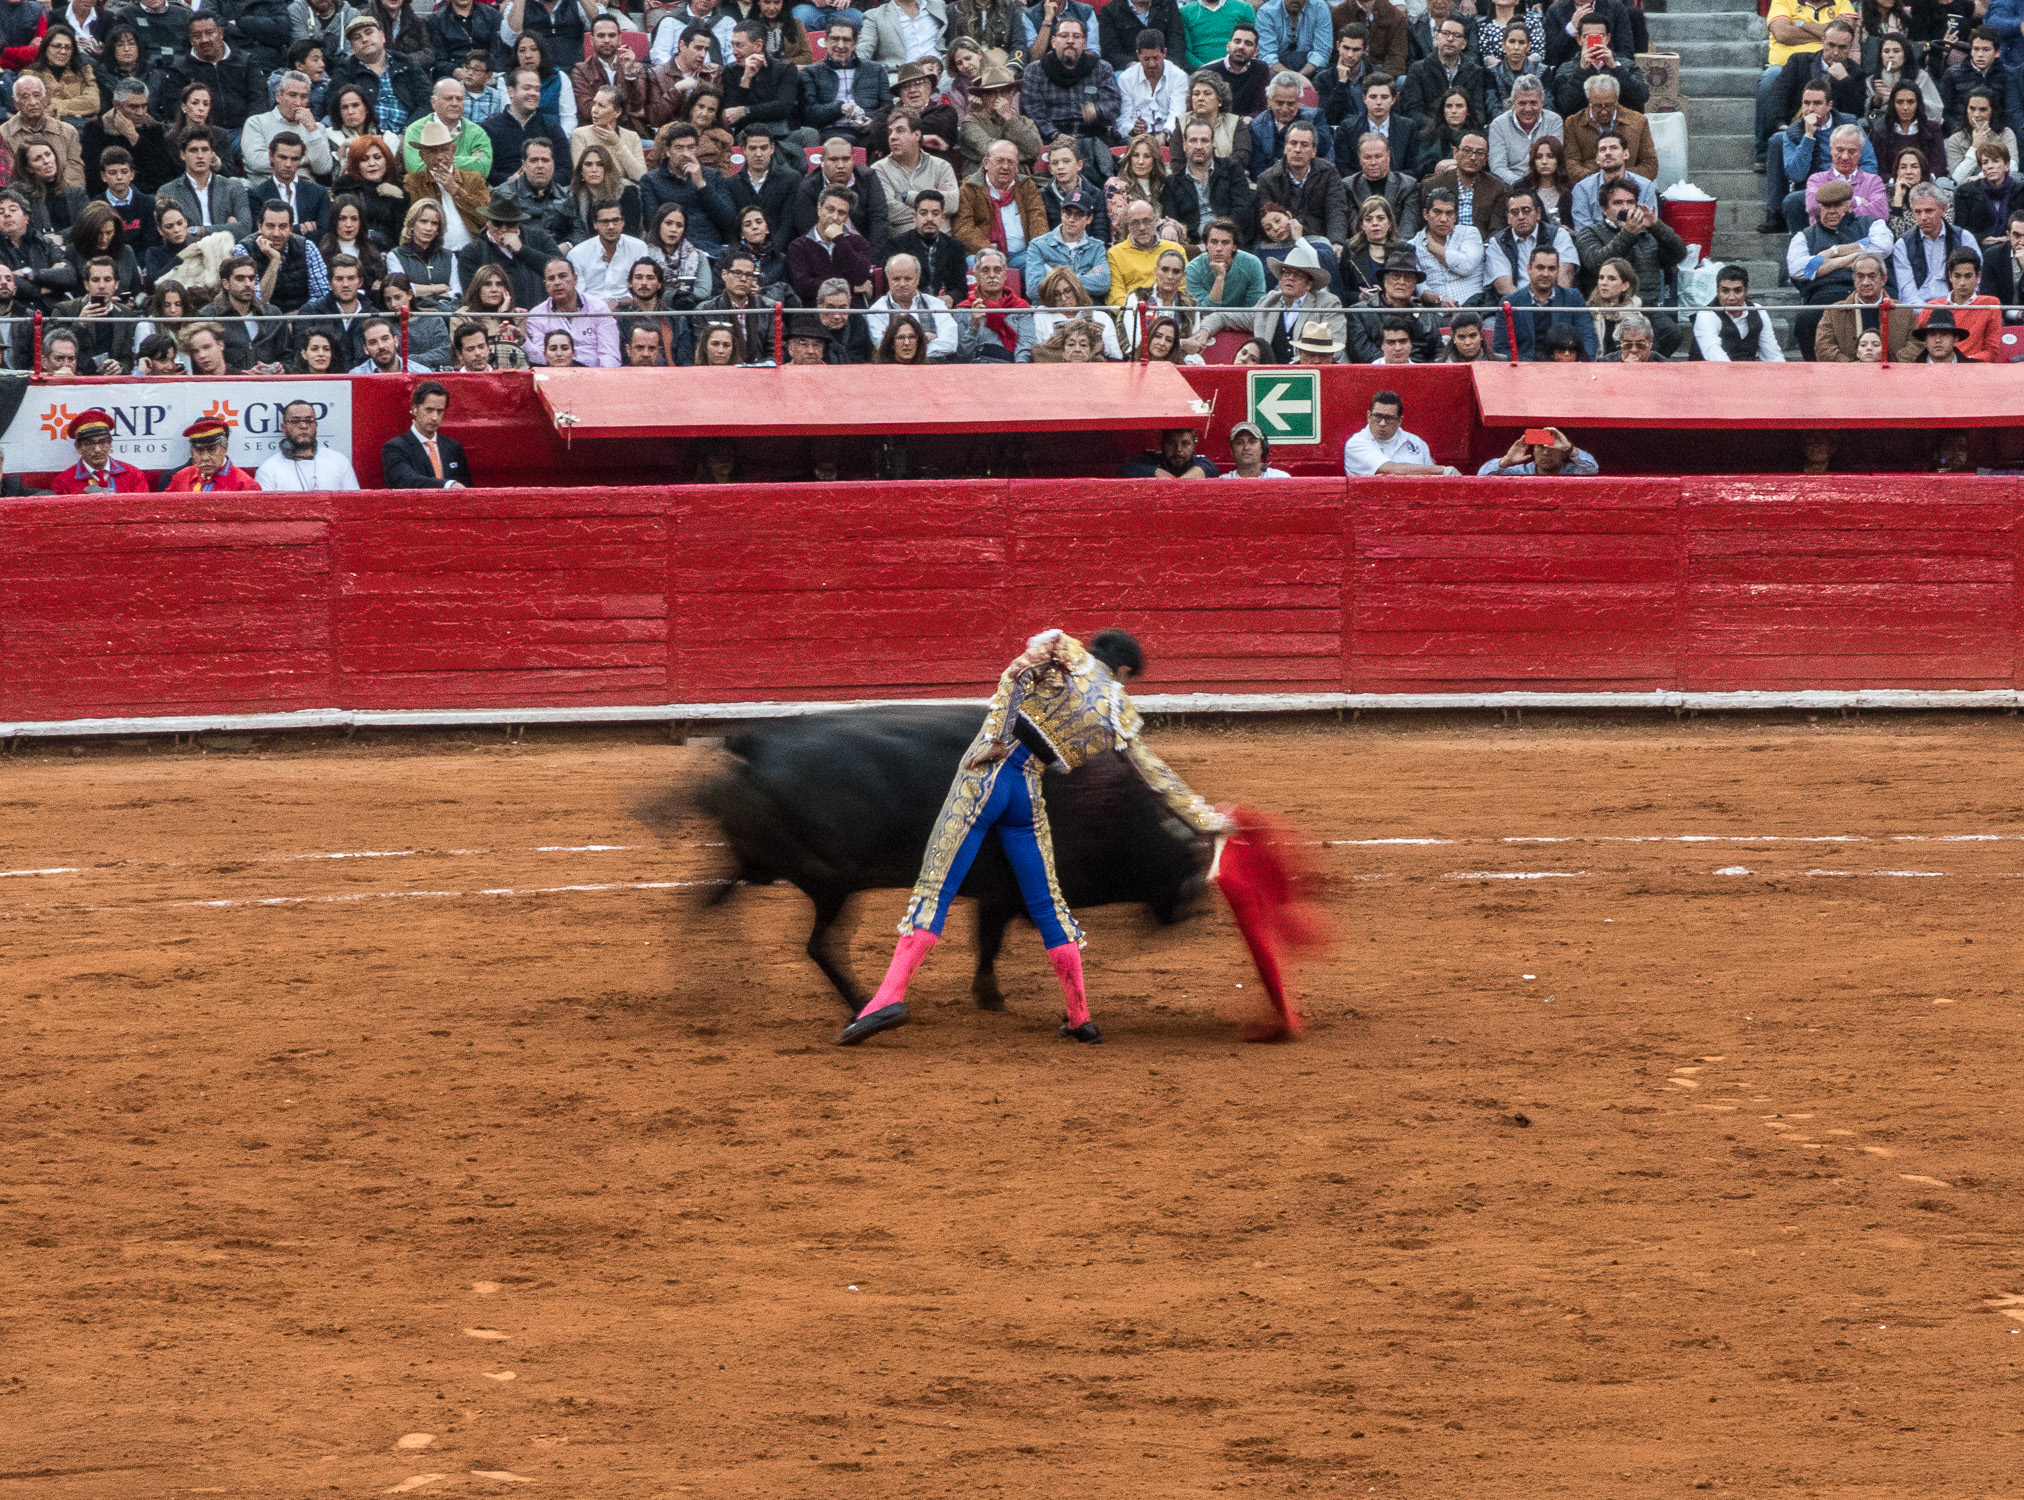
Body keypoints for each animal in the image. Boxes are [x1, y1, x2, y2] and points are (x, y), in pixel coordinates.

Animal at [671, 700, 1206, 1008]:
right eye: (1180, 863)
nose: (1193, 911)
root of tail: (756, 742)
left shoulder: (997, 894)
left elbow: (987, 940)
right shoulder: (1004, 890)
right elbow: (989, 942)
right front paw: (991, 998)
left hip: (756, 864)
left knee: (703, 905)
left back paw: (702, 982)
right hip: (832, 881)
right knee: (818, 944)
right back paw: (860, 999)